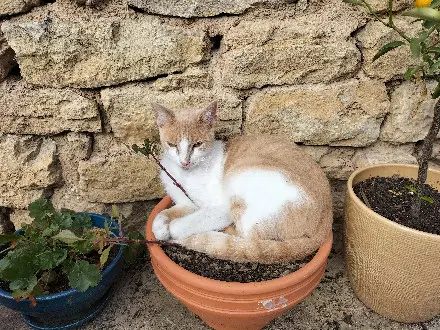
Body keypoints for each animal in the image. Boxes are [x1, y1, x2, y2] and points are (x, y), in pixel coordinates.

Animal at [150, 102, 332, 264]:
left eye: (197, 145)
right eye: (172, 145)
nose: (185, 162)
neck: (184, 175)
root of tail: (326, 222)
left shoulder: (220, 209)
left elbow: (183, 224)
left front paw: (172, 229)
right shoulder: (186, 203)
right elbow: (161, 215)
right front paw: (160, 228)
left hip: (242, 180)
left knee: (247, 240)